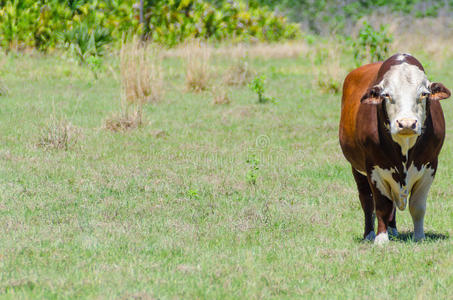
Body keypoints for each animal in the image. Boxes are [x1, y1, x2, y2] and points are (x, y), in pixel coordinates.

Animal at [340, 53, 448, 244]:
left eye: (424, 94)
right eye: (387, 94)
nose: (407, 123)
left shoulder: (430, 166)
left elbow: (417, 206)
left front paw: (419, 236)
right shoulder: (374, 169)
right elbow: (382, 205)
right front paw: (381, 238)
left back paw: (392, 229)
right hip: (356, 169)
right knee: (367, 201)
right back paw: (369, 234)